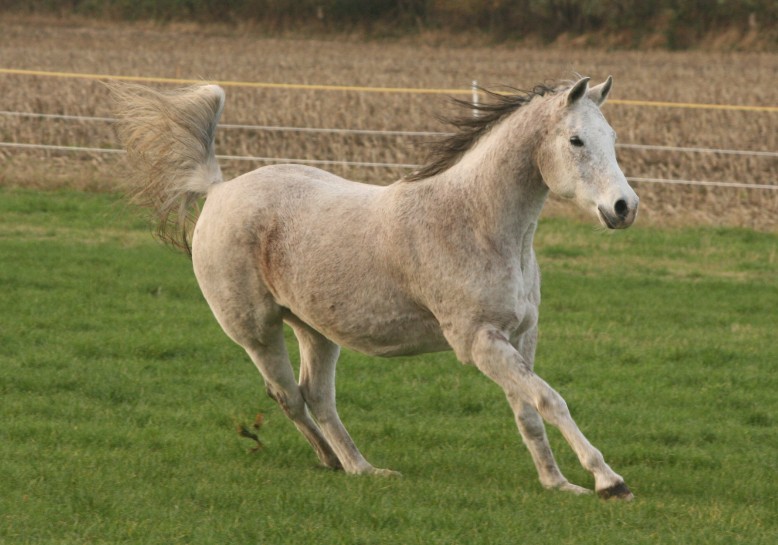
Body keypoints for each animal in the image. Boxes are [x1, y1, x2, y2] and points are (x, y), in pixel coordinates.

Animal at [112, 74, 640, 500]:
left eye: (612, 137)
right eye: (576, 140)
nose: (623, 207)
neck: (476, 223)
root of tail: (219, 190)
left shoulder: (519, 336)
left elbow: (529, 409)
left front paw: (559, 484)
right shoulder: (478, 342)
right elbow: (551, 400)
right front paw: (609, 482)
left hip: (315, 330)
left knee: (317, 397)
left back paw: (361, 469)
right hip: (257, 332)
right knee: (289, 396)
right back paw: (334, 461)